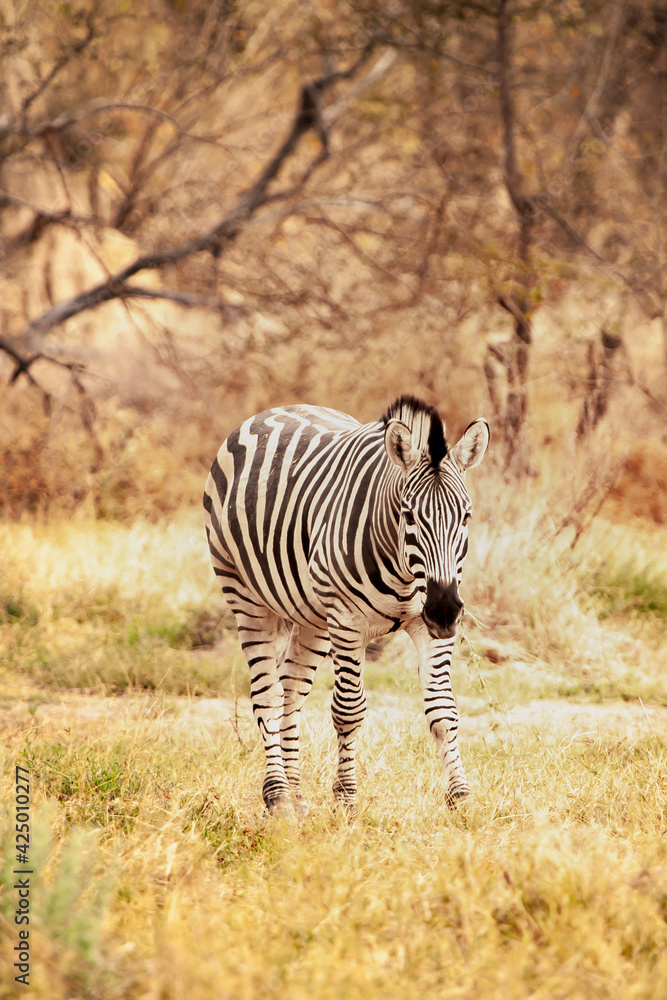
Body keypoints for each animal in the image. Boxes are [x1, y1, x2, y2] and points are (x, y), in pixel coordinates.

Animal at [203, 395, 489, 813]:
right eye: (408, 516)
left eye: (466, 516)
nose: (444, 611)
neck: (406, 574)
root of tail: (274, 410)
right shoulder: (348, 621)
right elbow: (349, 710)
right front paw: (347, 799)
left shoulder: (428, 626)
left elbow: (443, 711)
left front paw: (461, 797)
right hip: (247, 598)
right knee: (268, 696)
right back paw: (278, 795)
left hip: (312, 617)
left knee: (291, 690)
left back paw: (296, 793)